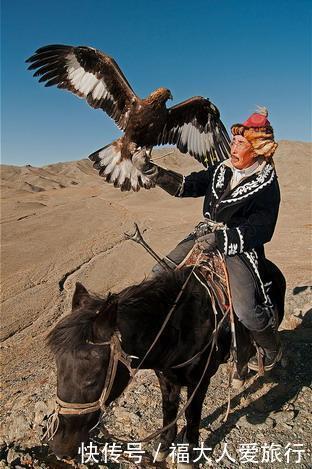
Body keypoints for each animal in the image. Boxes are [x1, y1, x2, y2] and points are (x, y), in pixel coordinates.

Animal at [45, 264, 286, 464]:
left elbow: (192, 414)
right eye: (58, 369)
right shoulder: (166, 376)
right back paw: (239, 375)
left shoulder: (199, 380)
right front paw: (163, 447)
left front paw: (189, 454)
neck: (179, 327)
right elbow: (169, 410)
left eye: (92, 377)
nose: (60, 447)